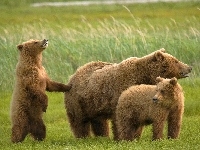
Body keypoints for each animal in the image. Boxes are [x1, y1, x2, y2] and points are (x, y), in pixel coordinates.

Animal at [64, 48, 192, 139]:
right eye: (176, 61)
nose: (189, 67)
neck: (143, 75)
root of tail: (73, 75)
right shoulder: (121, 91)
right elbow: (120, 117)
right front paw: (121, 137)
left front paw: (136, 136)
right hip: (78, 102)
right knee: (79, 121)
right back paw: (83, 137)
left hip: (94, 104)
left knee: (99, 121)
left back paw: (103, 136)